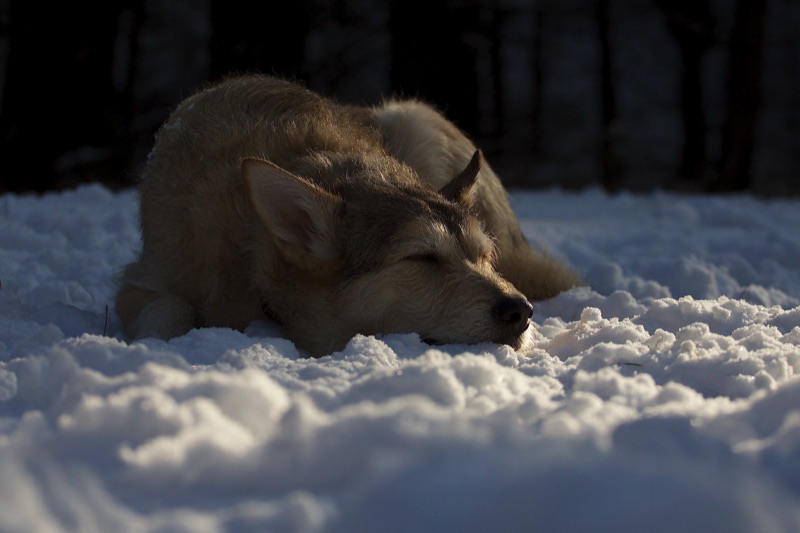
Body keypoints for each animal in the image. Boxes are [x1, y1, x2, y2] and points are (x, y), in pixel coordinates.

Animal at [114, 75, 580, 356]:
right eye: (421, 258)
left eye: (484, 257)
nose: (521, 311)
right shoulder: (144, 279)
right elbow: (173, 307)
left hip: (411, 115)